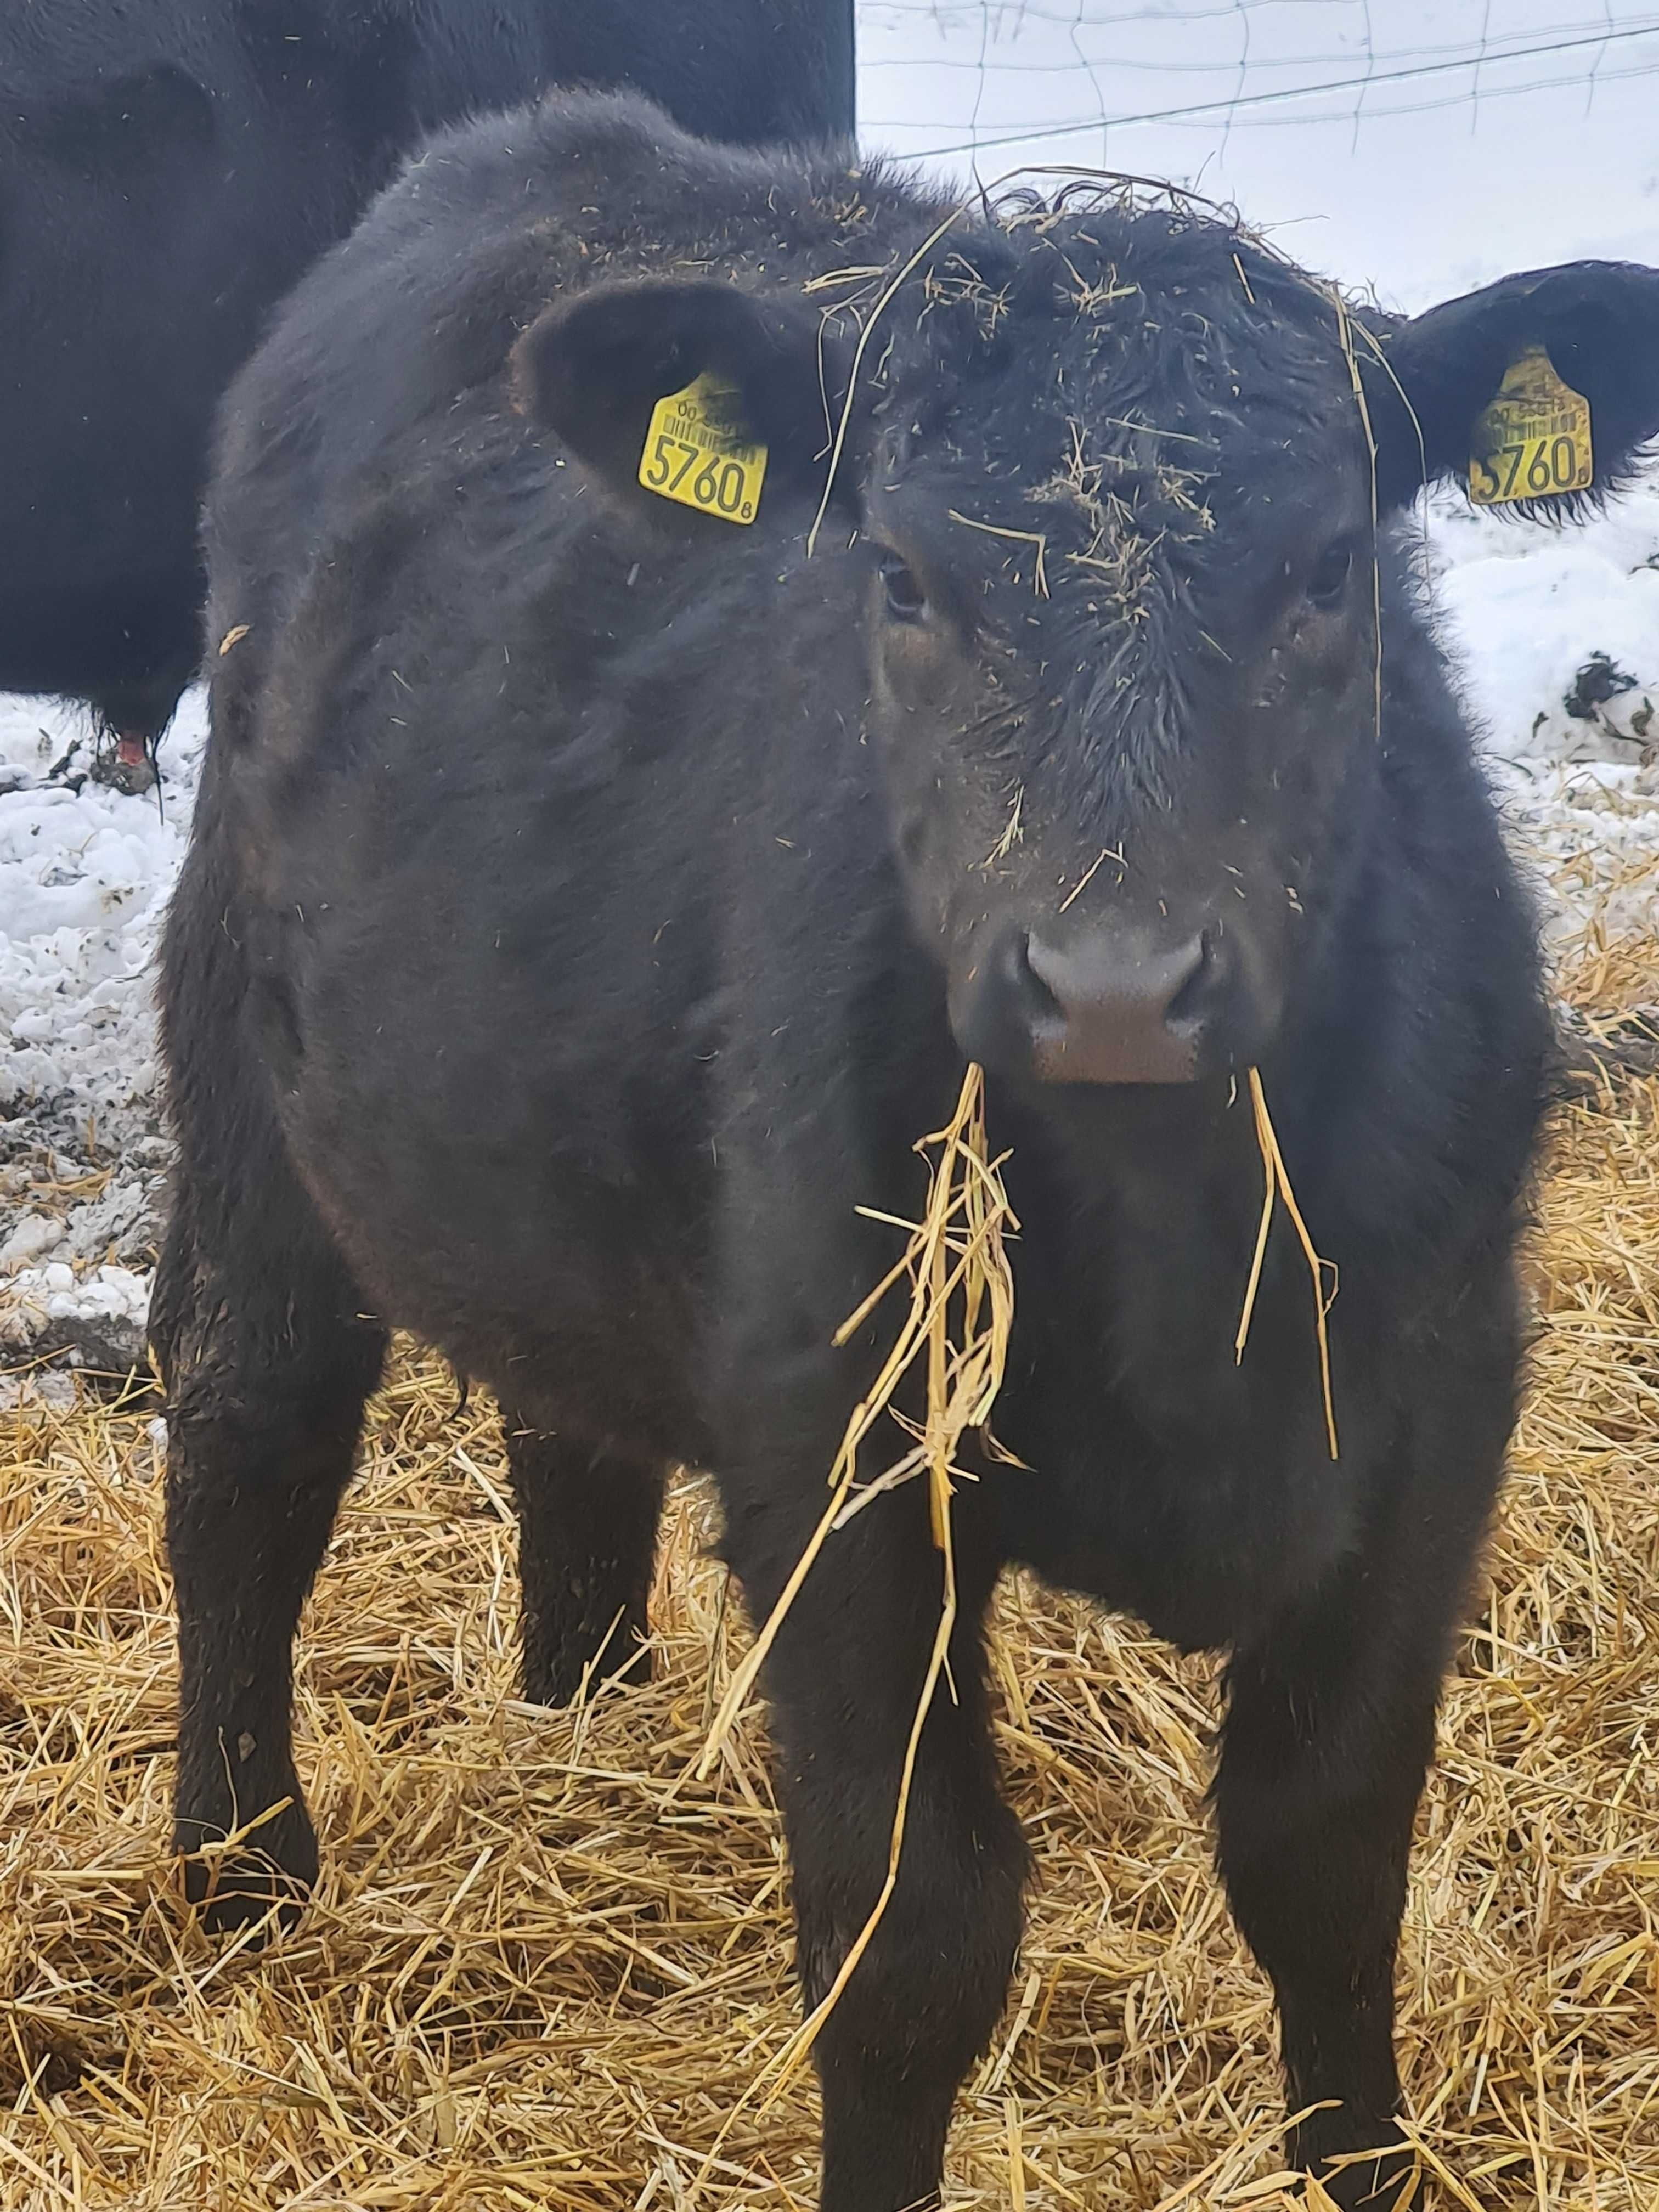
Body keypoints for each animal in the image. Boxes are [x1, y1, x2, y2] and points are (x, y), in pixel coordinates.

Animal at [153, 86, 1659, 2212]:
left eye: (1324, 575)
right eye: (900, 581)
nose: (1111, 984)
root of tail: (553, 139)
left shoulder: (1436, 1412)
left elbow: (1327, 1854)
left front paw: (1354, 2166)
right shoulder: (840, 1443)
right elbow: (911, 1939)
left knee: (565, 1419)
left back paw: (585, 1716)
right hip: (247, 1049)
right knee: (248, 1437)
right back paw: (244, 1871)